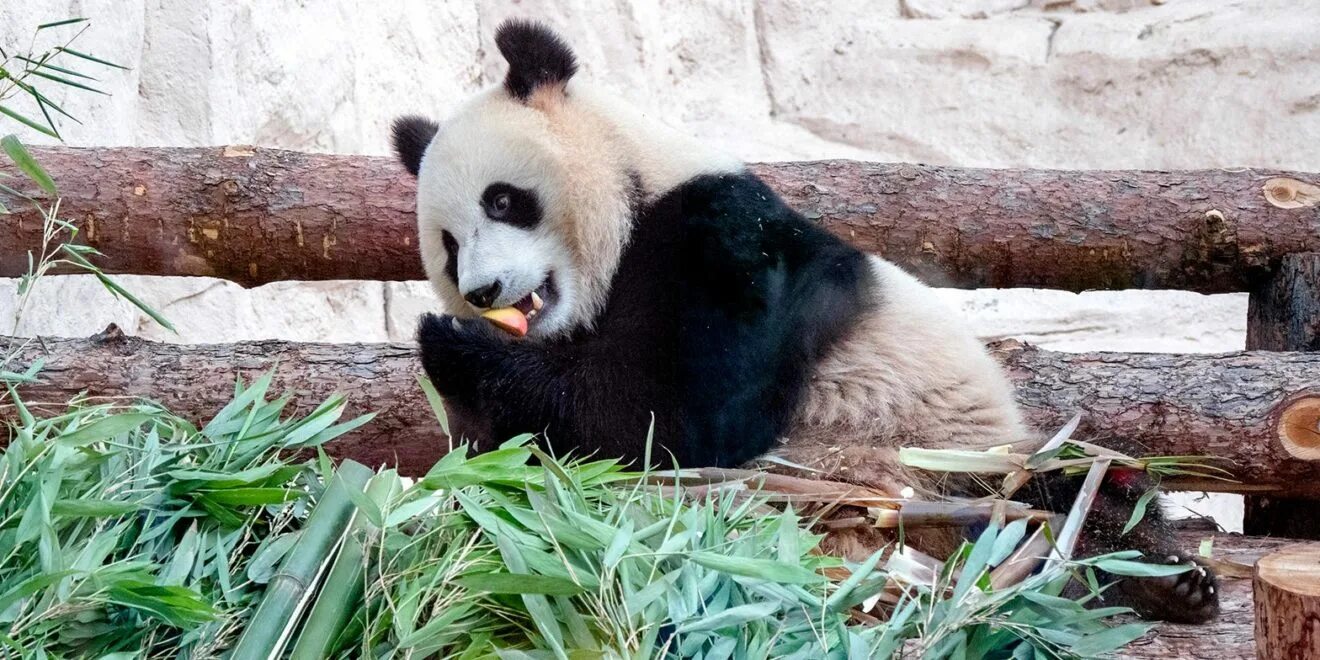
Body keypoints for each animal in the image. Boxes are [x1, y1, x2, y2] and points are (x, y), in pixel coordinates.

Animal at [388, 16, 1214, 623]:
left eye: (504, 200)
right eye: (449, 246)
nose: (484, 290)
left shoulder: (723, 241)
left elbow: (667, 420)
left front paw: (453, 344)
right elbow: (523, 454)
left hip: (959, 458)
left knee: (1076, 492)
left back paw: (1153, 574)